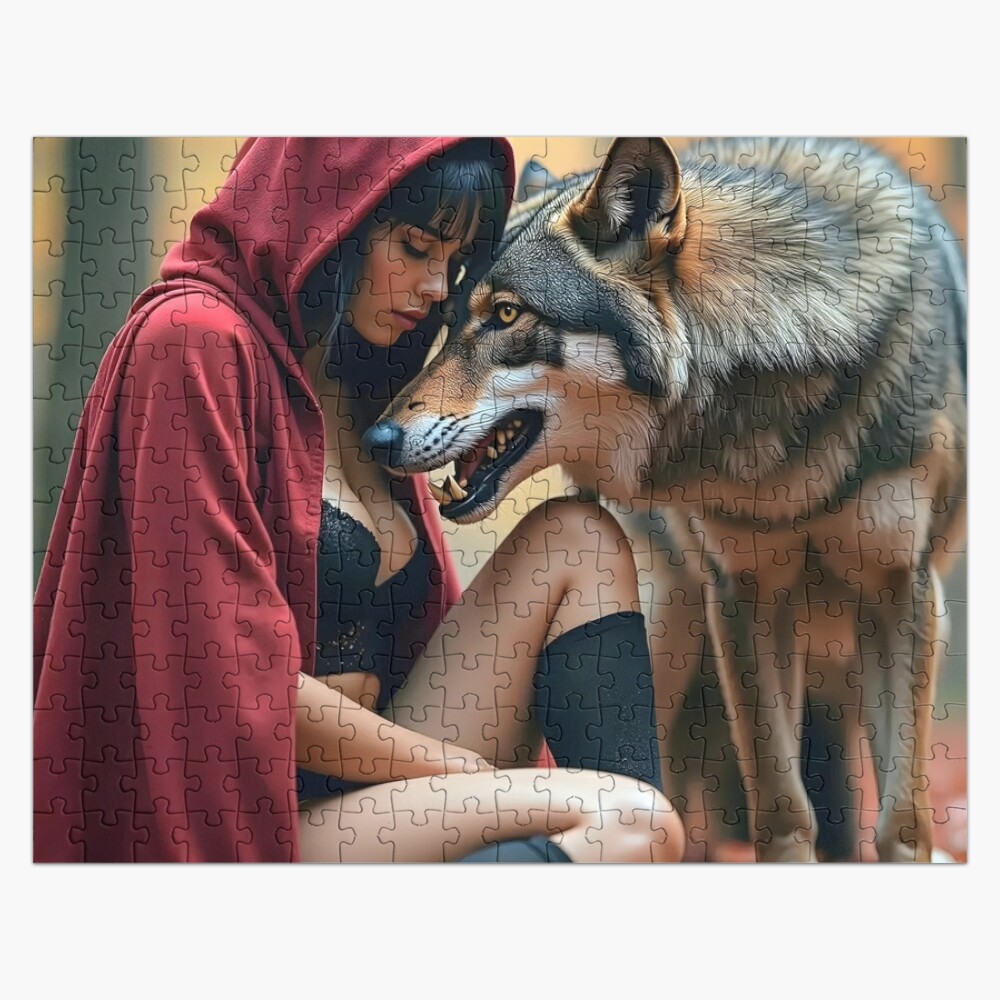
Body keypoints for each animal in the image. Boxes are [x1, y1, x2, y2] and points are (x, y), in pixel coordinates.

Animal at [364, 138, 967, 861]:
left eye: (506, 314)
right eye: (449, 320)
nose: (376, 438)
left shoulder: (898, 589)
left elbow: (899, 818)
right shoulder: (742, 592)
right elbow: (781, 805)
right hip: (664, 613)